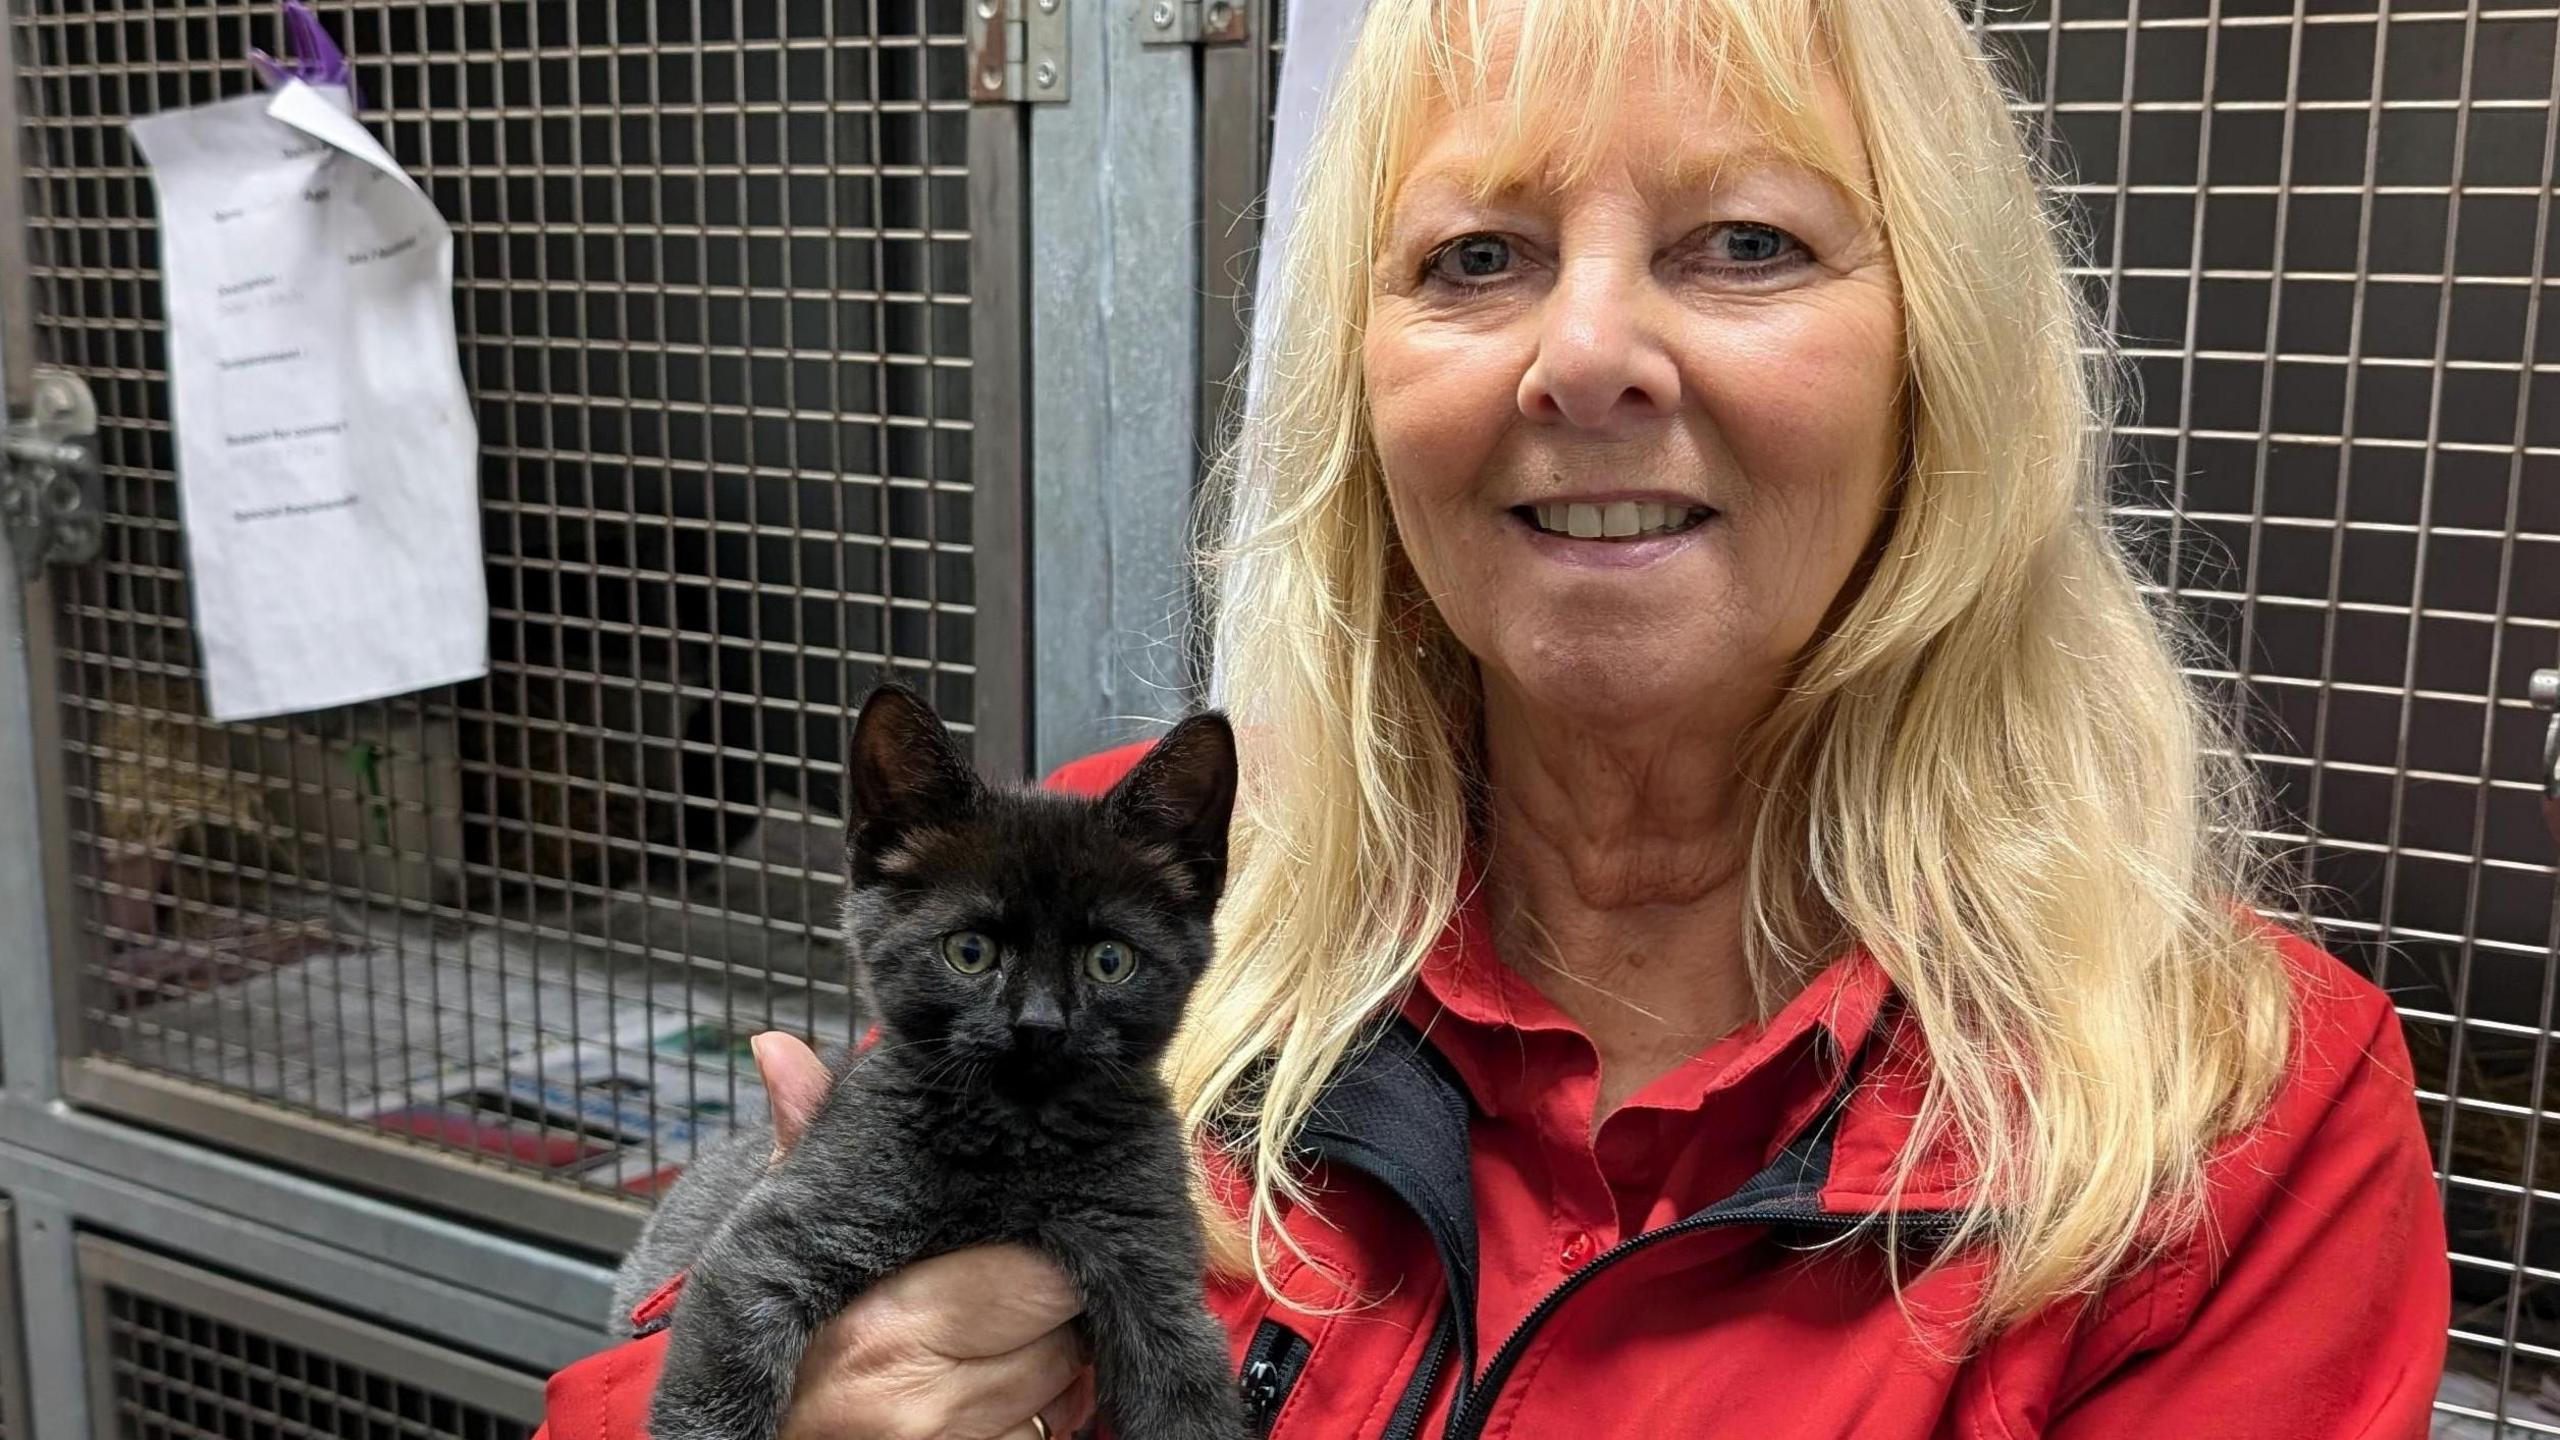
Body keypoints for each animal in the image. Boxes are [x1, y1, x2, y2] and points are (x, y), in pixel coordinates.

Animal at [629, 681, 1249, 1434]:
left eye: (1110, 960)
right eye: (969, 951)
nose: (1039, 1024)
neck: (1018, 1145)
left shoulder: (1151, 1267)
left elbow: (1186, 1397)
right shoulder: (770, 1243)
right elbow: (716, 1383)